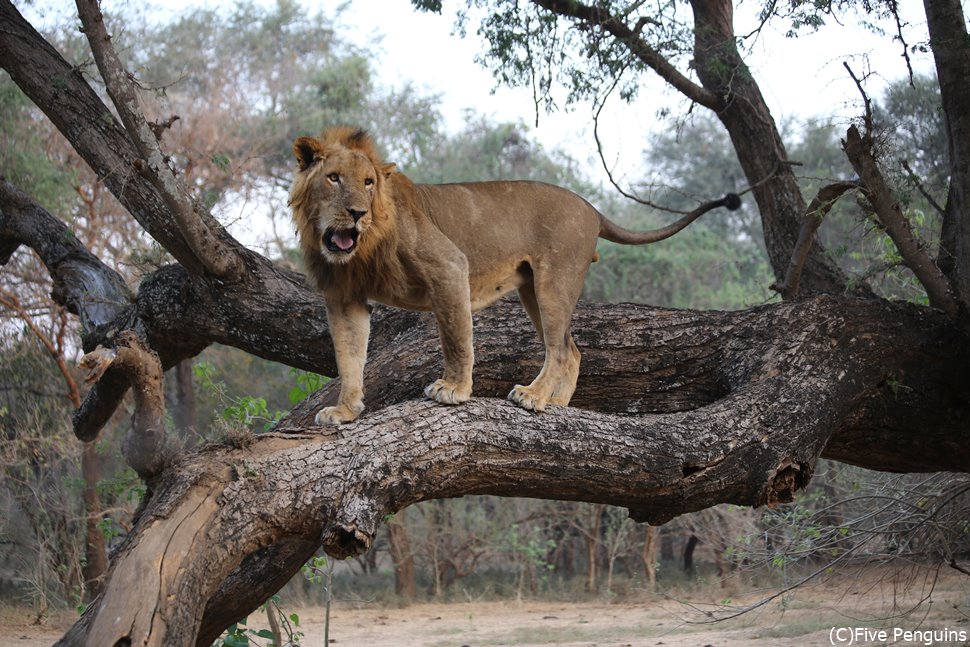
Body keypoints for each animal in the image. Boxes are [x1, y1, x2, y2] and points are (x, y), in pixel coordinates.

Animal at [292, 126, 736, 426]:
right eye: (334, 178)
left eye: (368, 183)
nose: (356, 213)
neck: (363, 249)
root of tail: (592, 208)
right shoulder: (344, 298)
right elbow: (349, 357)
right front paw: (345, 410)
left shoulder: (449, 266)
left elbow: (456, 339)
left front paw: (454, 390)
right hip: (534, 292)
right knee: (572, 349)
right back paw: (556, 403)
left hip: (555, 280)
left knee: (560, 349)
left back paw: (533, 396)